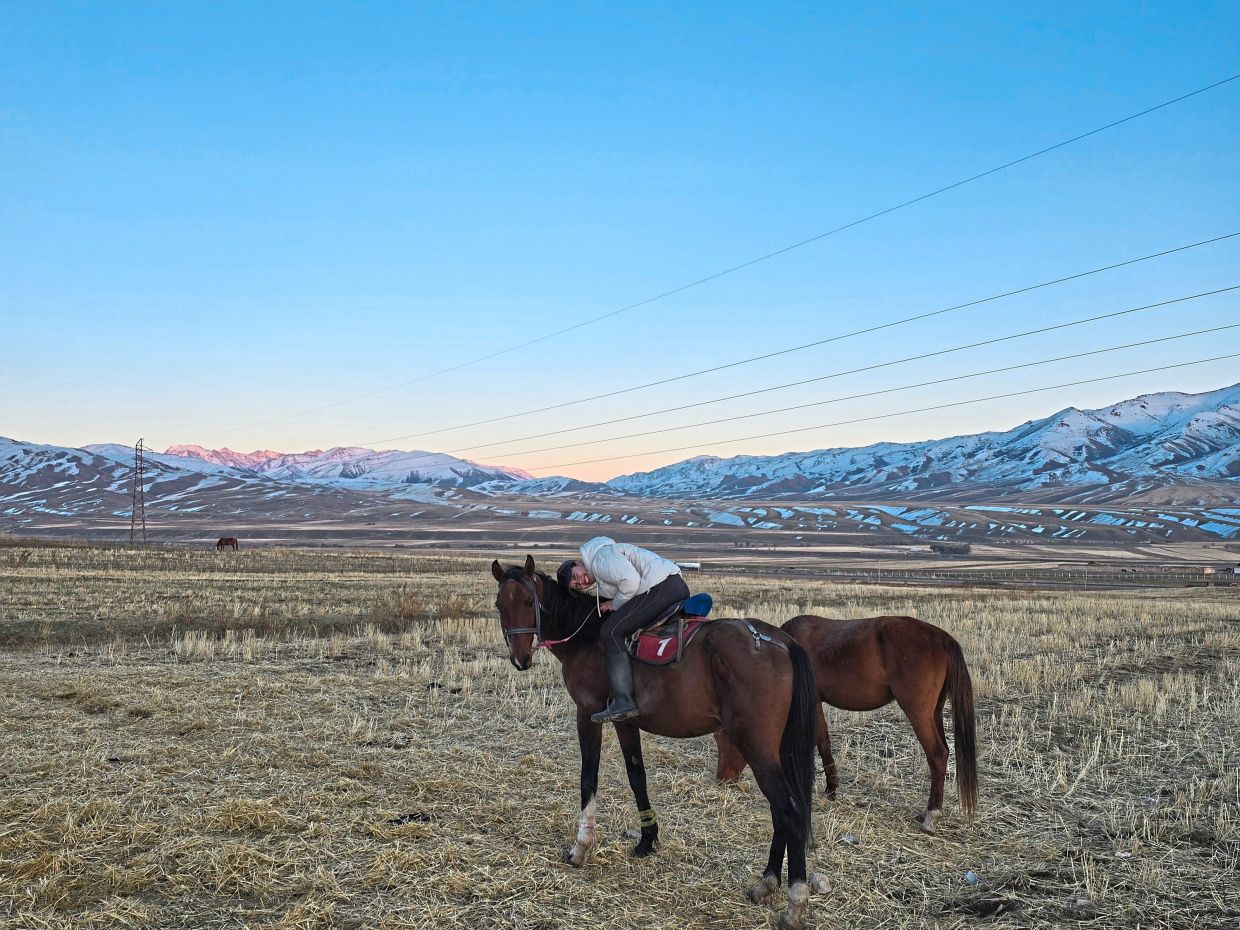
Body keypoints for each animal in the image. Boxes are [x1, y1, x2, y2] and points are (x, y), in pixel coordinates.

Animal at [491, 556, 827, 930]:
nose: (520, 658)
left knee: (788, 811)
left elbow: (588, 779)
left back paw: (794, 903)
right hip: (775, 749)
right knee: (781, 810)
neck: (587, 636)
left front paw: (581, 847)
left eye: (528, 602)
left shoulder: (588, 714)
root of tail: (781, 641)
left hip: (757, 747)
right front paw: (647, 840)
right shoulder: (625, 721)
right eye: (499, 605)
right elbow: (637, 776)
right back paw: (766, 884)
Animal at [714, 614, 977, 834]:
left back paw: (931, 814)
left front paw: (830, 788)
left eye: (726, 739)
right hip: (934, 712)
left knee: (938, 754)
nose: (722, 780)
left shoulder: (812, 701)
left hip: (919, 713)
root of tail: (943, 638)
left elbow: (821, 742)